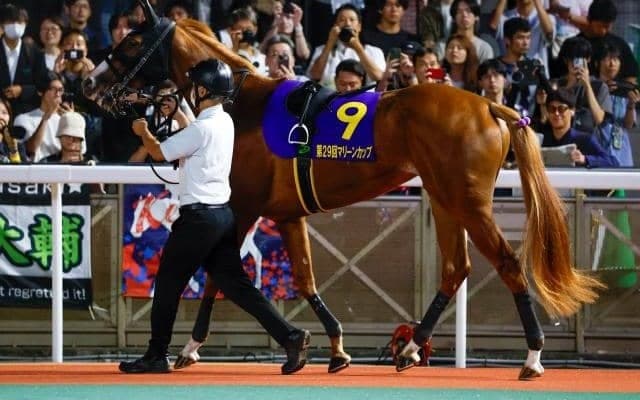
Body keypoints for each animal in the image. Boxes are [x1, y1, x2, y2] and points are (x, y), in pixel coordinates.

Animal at [83, 0, 604, 379]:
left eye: (132, 41)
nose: (88, 83)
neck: (242, 105)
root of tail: (490, 106)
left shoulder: (244, 206)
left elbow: (217, 277)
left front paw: (190, 348)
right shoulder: (287, 214)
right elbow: (302, 279)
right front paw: (331, 348)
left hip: (469, 202)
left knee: (508, 264)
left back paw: (532, 358)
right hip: (443, 197)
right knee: (456, 268)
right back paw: (410, 349)